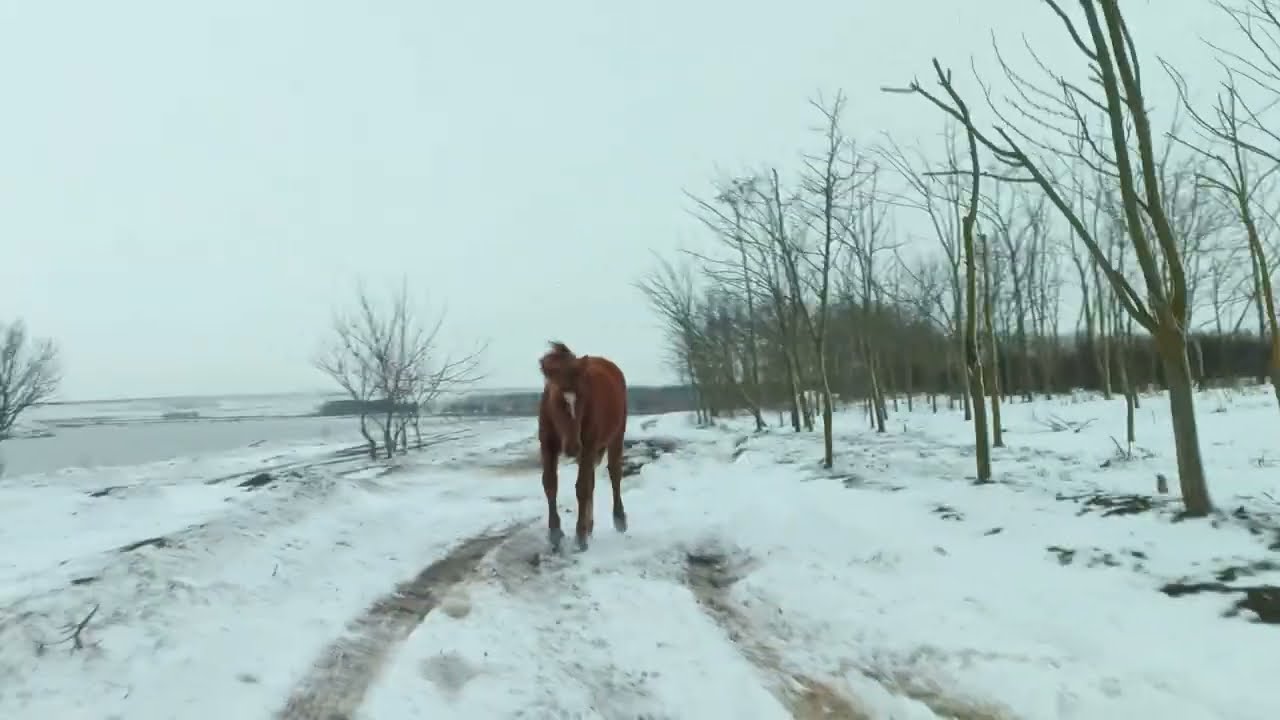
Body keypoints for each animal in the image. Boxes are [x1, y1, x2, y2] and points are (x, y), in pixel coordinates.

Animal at [537, 340, 628, 552]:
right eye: (556, 400)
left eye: (583, 398)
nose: (572, 447)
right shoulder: (547, 445)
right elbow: (550, 484)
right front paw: (555, 532)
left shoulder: (588, 446)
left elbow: (582, 488)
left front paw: (580, 537)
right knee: (593, 480)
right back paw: (590, 525)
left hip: (616, 436)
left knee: (614, 474)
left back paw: (619, 519)